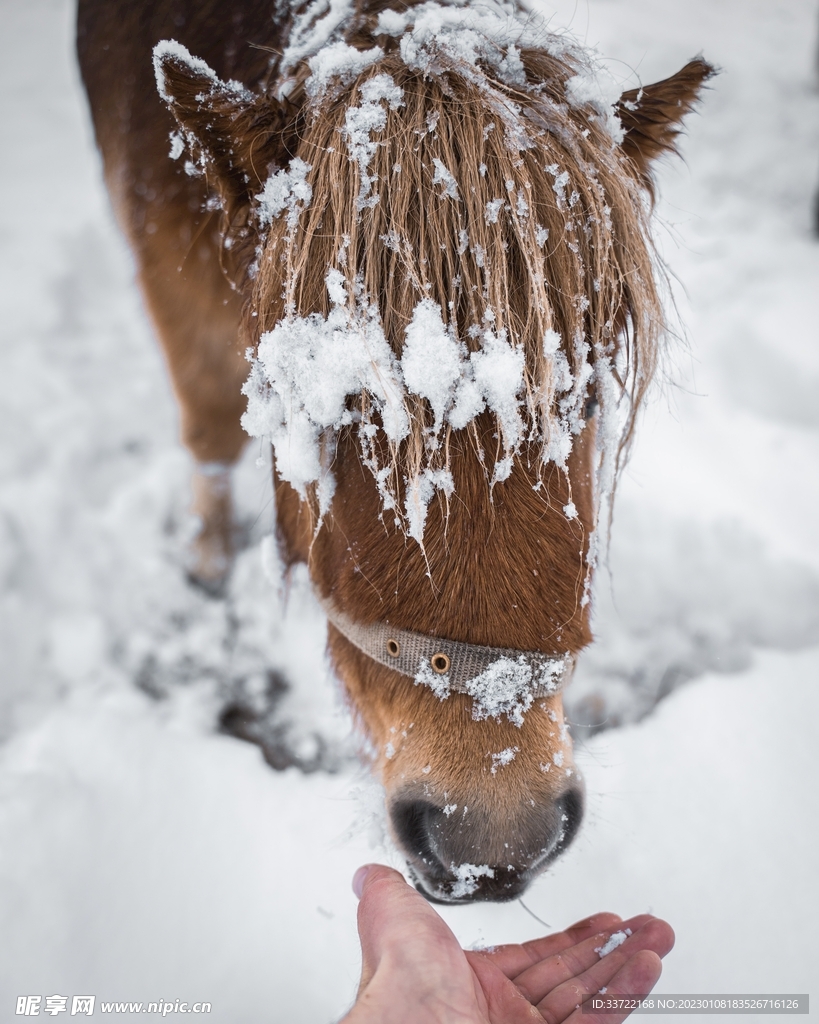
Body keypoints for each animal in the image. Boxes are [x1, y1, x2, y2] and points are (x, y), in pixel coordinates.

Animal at [77, 0, 712, 903]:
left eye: (584, 398)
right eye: (334, 403)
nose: (494, 837)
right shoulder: (168, 276)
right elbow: (208, 429)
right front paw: (204, 565)